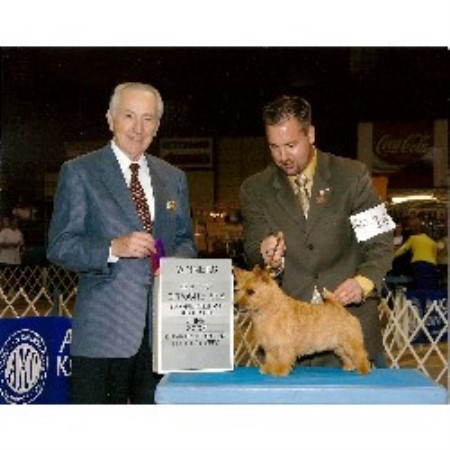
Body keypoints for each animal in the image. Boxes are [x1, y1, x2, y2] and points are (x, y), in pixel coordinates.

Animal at [234, 264, 370, 376]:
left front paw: (280, 370)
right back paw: (350, 366)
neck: (270, 309)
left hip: (350, 342)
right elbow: (271, 358)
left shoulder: (284, 345)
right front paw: (268, 369)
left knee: (361, 354)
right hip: (339, 345)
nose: (236, 305)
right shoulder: (270, 346)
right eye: (238, 290)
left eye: (251, 291)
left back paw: (364, 369)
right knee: (347, 356)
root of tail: (339, 307)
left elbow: (283, 358)